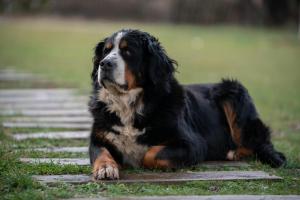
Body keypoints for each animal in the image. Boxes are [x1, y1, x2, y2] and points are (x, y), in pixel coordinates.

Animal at [88, 28, 286, 180]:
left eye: (128, 51)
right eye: (106, 51)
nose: (104, 64)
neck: (128, 103)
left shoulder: (193, 144)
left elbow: (151, 154)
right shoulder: (99, 138)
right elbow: (101, 152)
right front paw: (106, 167)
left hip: (233, 93)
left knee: (257, 144)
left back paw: (233, 152)